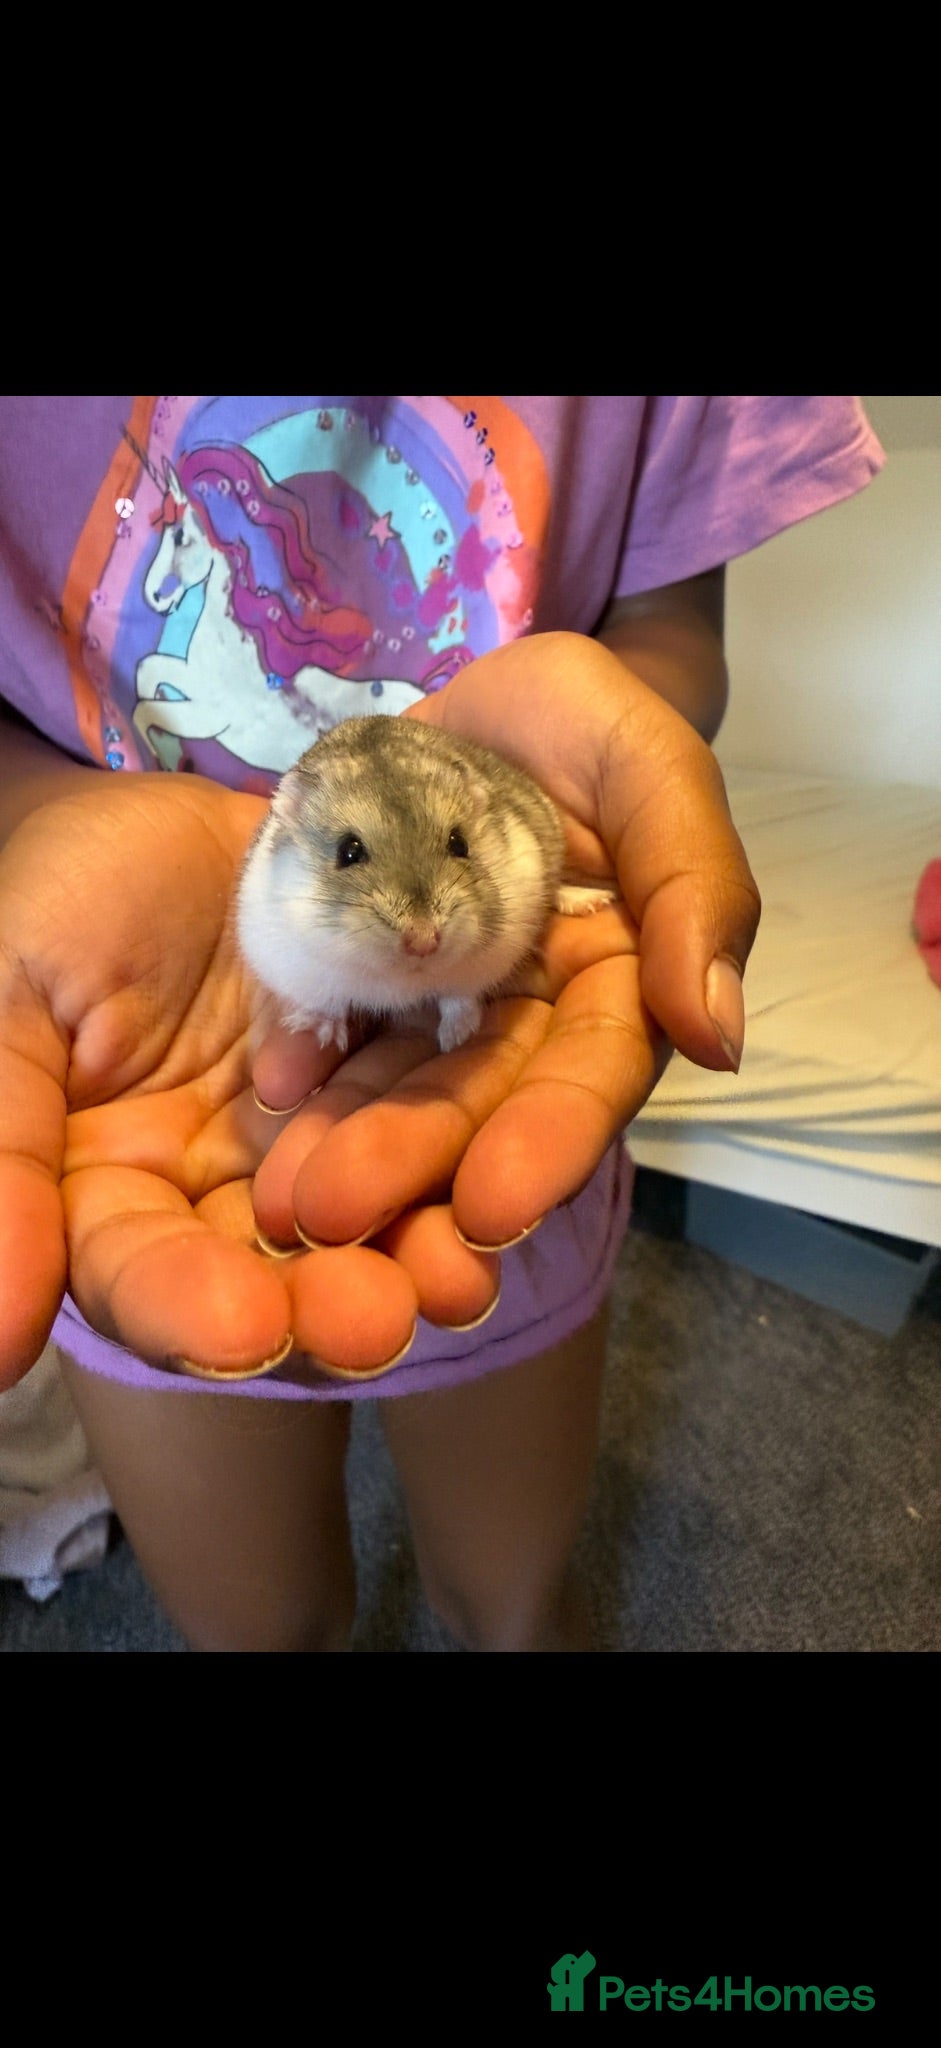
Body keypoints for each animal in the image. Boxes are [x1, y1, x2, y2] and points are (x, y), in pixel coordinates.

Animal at [236, 714, 615, 1054]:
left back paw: (591, 900)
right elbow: (329, 1006)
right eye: (348, 851)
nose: (424, 942)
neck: (406, 976)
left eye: (459, 843)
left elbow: (458, 998)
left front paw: (456, 1040)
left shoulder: (485, 963)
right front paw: (317, 1033)